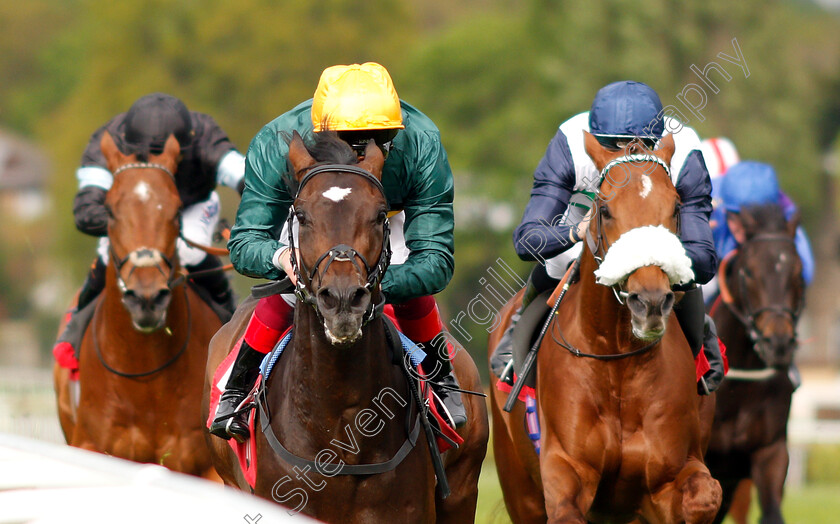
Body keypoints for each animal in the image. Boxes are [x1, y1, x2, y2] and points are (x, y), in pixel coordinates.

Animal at [51, 132, 223, 478]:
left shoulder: (207, 470)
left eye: (175, 211)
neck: (147, 379)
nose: (146, 298)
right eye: (110, 211)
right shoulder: (89, 446)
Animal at [492, 133, 720, 520]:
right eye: (605, 210)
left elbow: (705, 496)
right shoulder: (565, 468)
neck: (618, 360)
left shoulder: (668, 475)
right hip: (518, 486)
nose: (650, 302)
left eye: (675, 208)